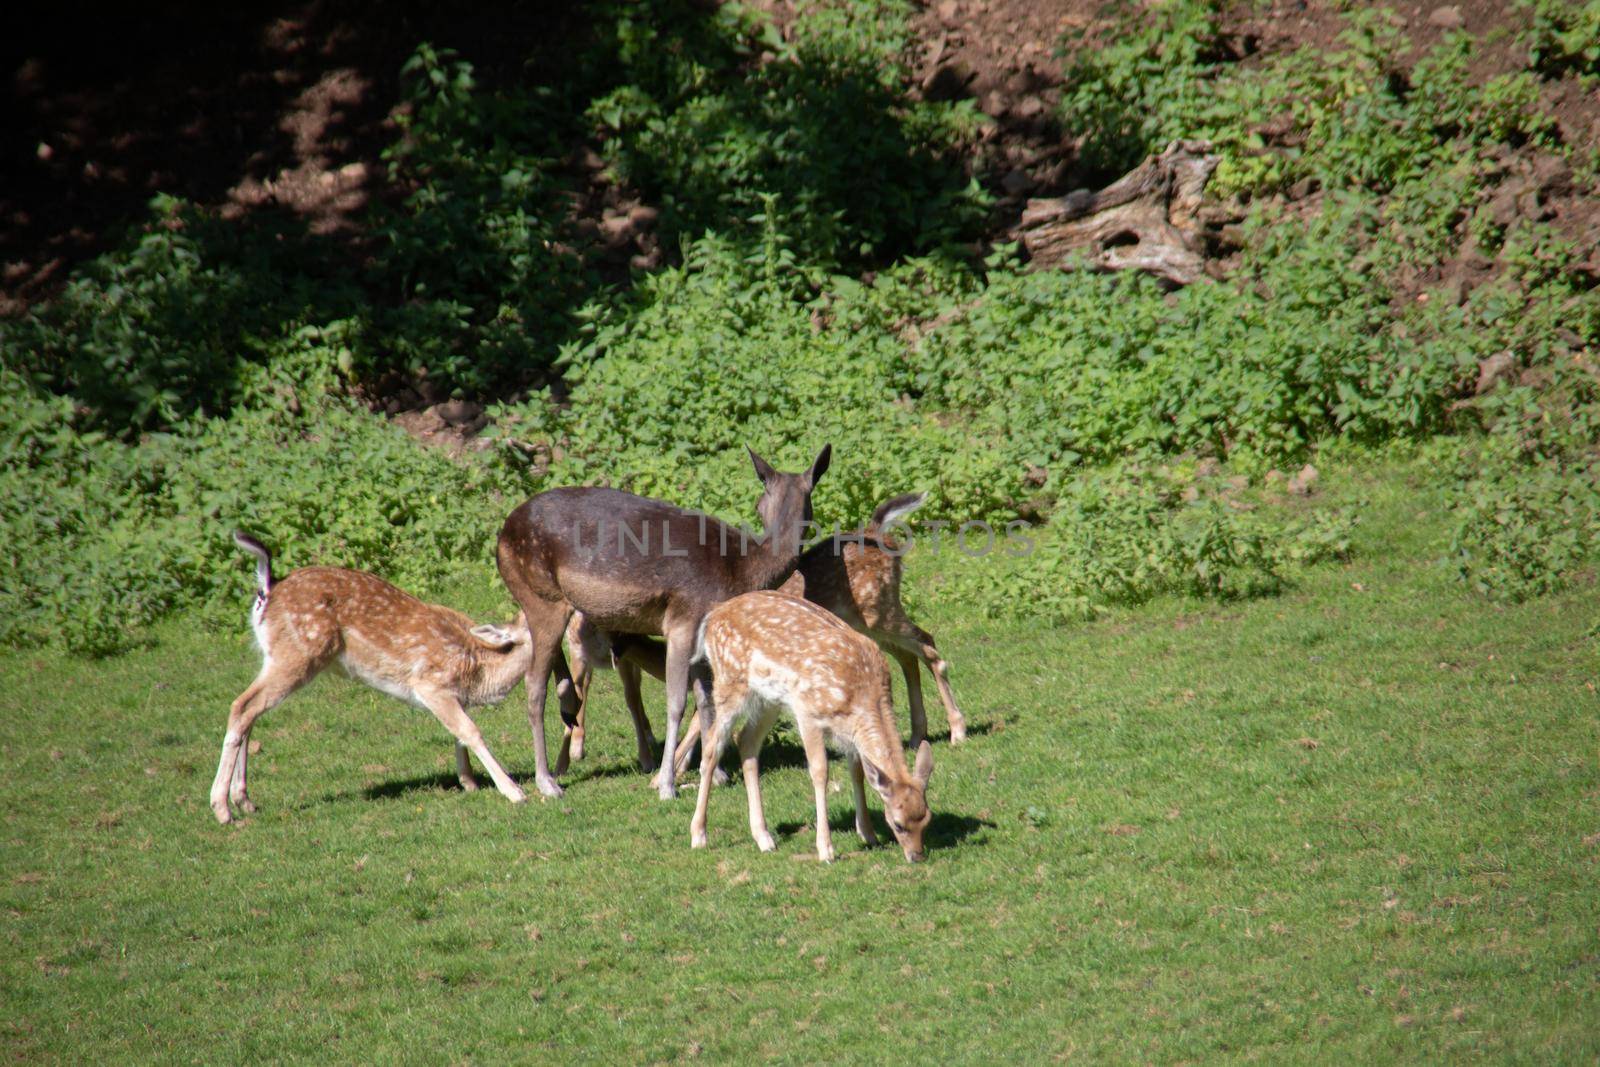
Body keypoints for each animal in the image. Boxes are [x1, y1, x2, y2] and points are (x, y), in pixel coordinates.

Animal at [496, 444, 825, 799]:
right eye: (758, 502)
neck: (740, 571)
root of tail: (502, 536)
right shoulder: (683, 621)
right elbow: (677, 702)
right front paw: (667, 784)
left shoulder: (702, 638)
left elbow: (706, 702)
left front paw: (717, 774)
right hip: (542, 596)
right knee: (534, 684)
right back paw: (547, 782)